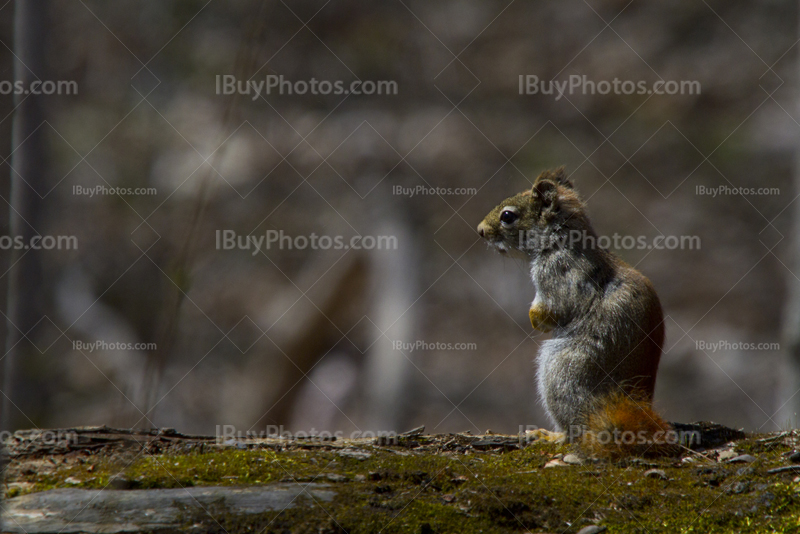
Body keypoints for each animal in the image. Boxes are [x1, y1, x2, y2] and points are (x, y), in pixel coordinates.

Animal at [478, 169, 680, 460]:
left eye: (508, 216)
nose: (481, 230)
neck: (559, 241)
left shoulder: (559, 275)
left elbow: (553, 308)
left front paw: (533, 318)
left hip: (561, 373)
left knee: (573, 431)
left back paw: (550, 436)